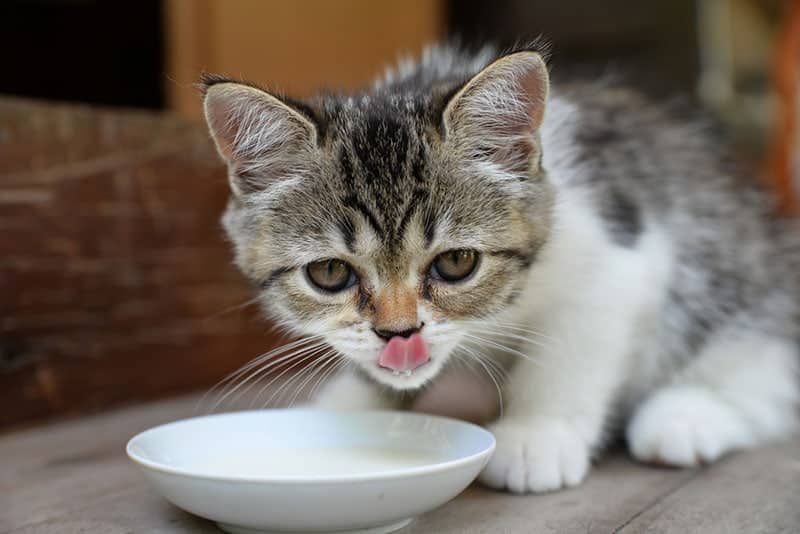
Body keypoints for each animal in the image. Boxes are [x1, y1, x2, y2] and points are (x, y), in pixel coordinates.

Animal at [202, 44, 800, 496]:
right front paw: (353, 408)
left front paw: (538, 434)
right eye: (330, 273)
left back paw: (688, 415)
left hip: (728, 274)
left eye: (456, 263)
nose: (399, 334)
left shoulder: (617, 258)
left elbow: (570, 352)